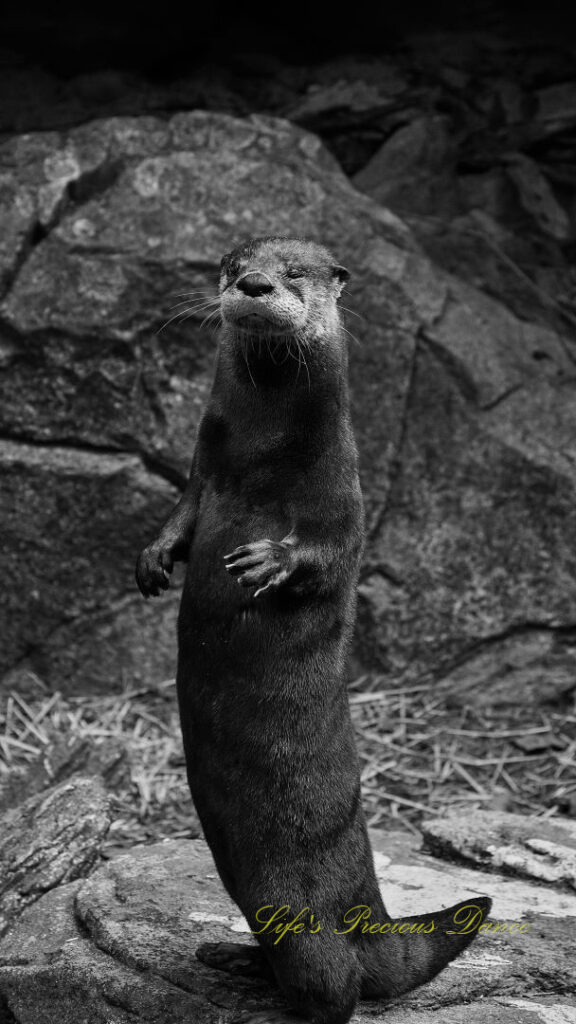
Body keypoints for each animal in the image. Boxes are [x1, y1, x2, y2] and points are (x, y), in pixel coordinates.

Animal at [135, 237, 487, 1024]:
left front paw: (268, 560)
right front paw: (152, 558)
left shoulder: (341, 485)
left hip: (295, 909)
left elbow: (328, 551)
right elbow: (184, 515)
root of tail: (373, 920)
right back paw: (231, 956)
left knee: (337, 985)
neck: (261, 448)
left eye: (296, 272)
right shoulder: (205, 467)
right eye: (233, 262)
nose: (255, 284)